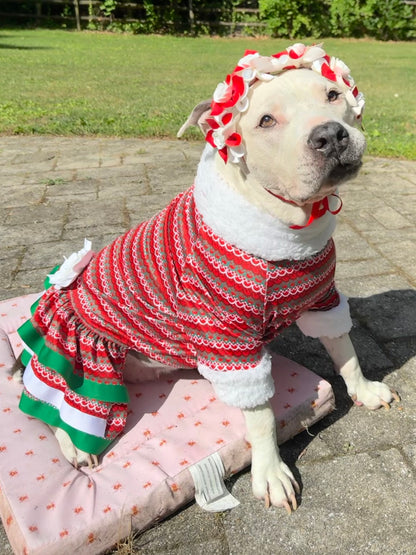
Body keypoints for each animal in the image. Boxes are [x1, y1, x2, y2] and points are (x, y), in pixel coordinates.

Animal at [16, 44, 398, 516]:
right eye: (266, 121)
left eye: (332, 94)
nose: (330, 135)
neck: (292, 228)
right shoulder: (230, 340)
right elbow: (261, 414)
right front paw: (270, 473)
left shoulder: (323, 297)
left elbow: (344, 349)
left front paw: (363, 390)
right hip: (89, 363)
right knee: (51, 404)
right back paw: (73, 446)